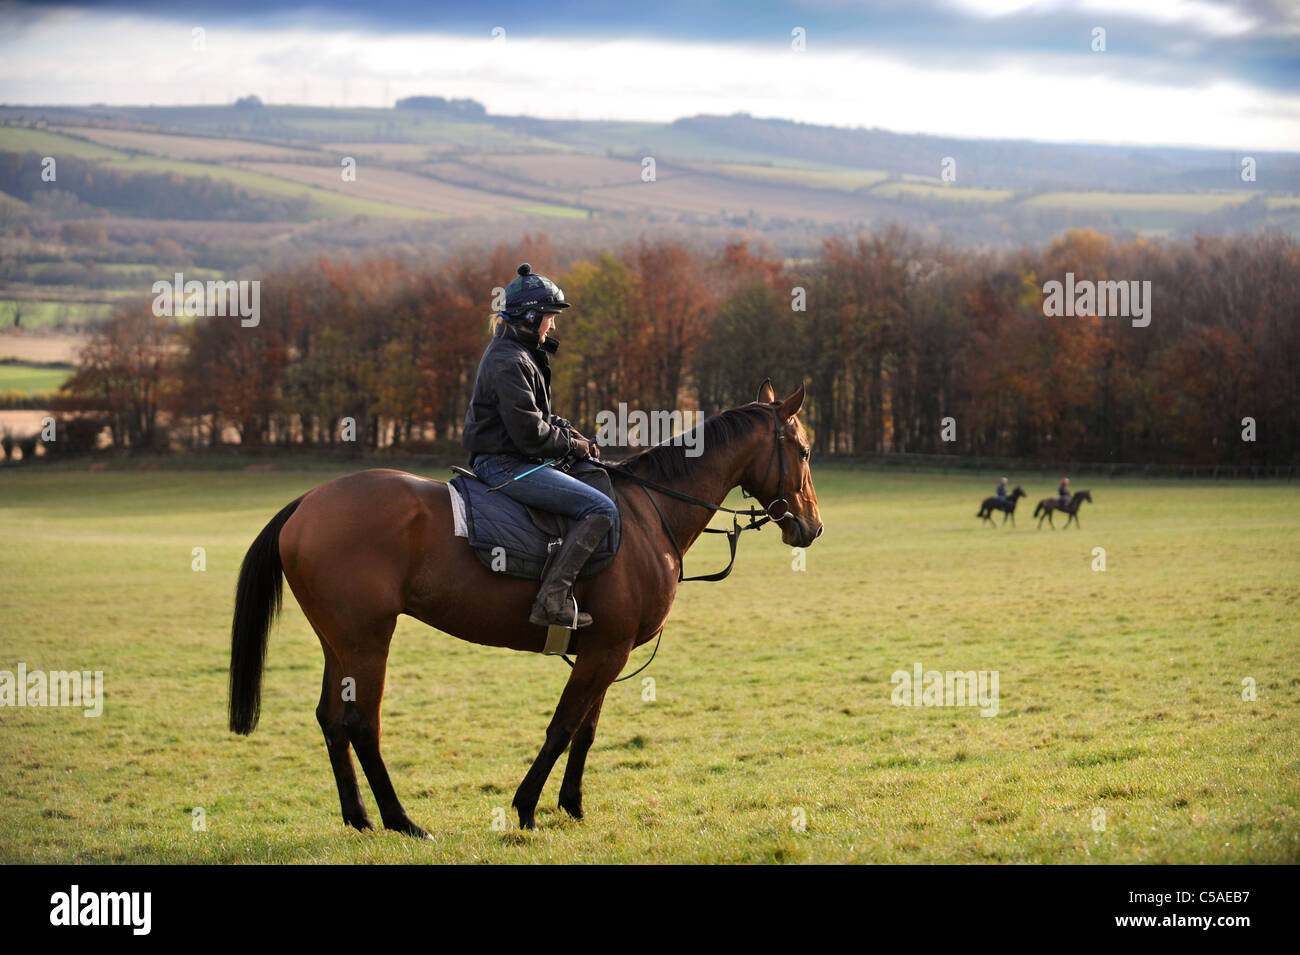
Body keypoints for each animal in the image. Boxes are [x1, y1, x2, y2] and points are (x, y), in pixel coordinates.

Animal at [228, 382, 821, 836]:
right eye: (805, 452)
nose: (812, 526)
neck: (650, 513)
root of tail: (307, 502)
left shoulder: (607, 650)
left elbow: (585, 729)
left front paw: (572, 805)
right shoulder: (605, 651)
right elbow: (562, 726)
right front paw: (528, 807)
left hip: (339, 642)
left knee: (332, 719)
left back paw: (359, 818)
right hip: (367, 641)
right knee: (360, 724)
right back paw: (401, 820)